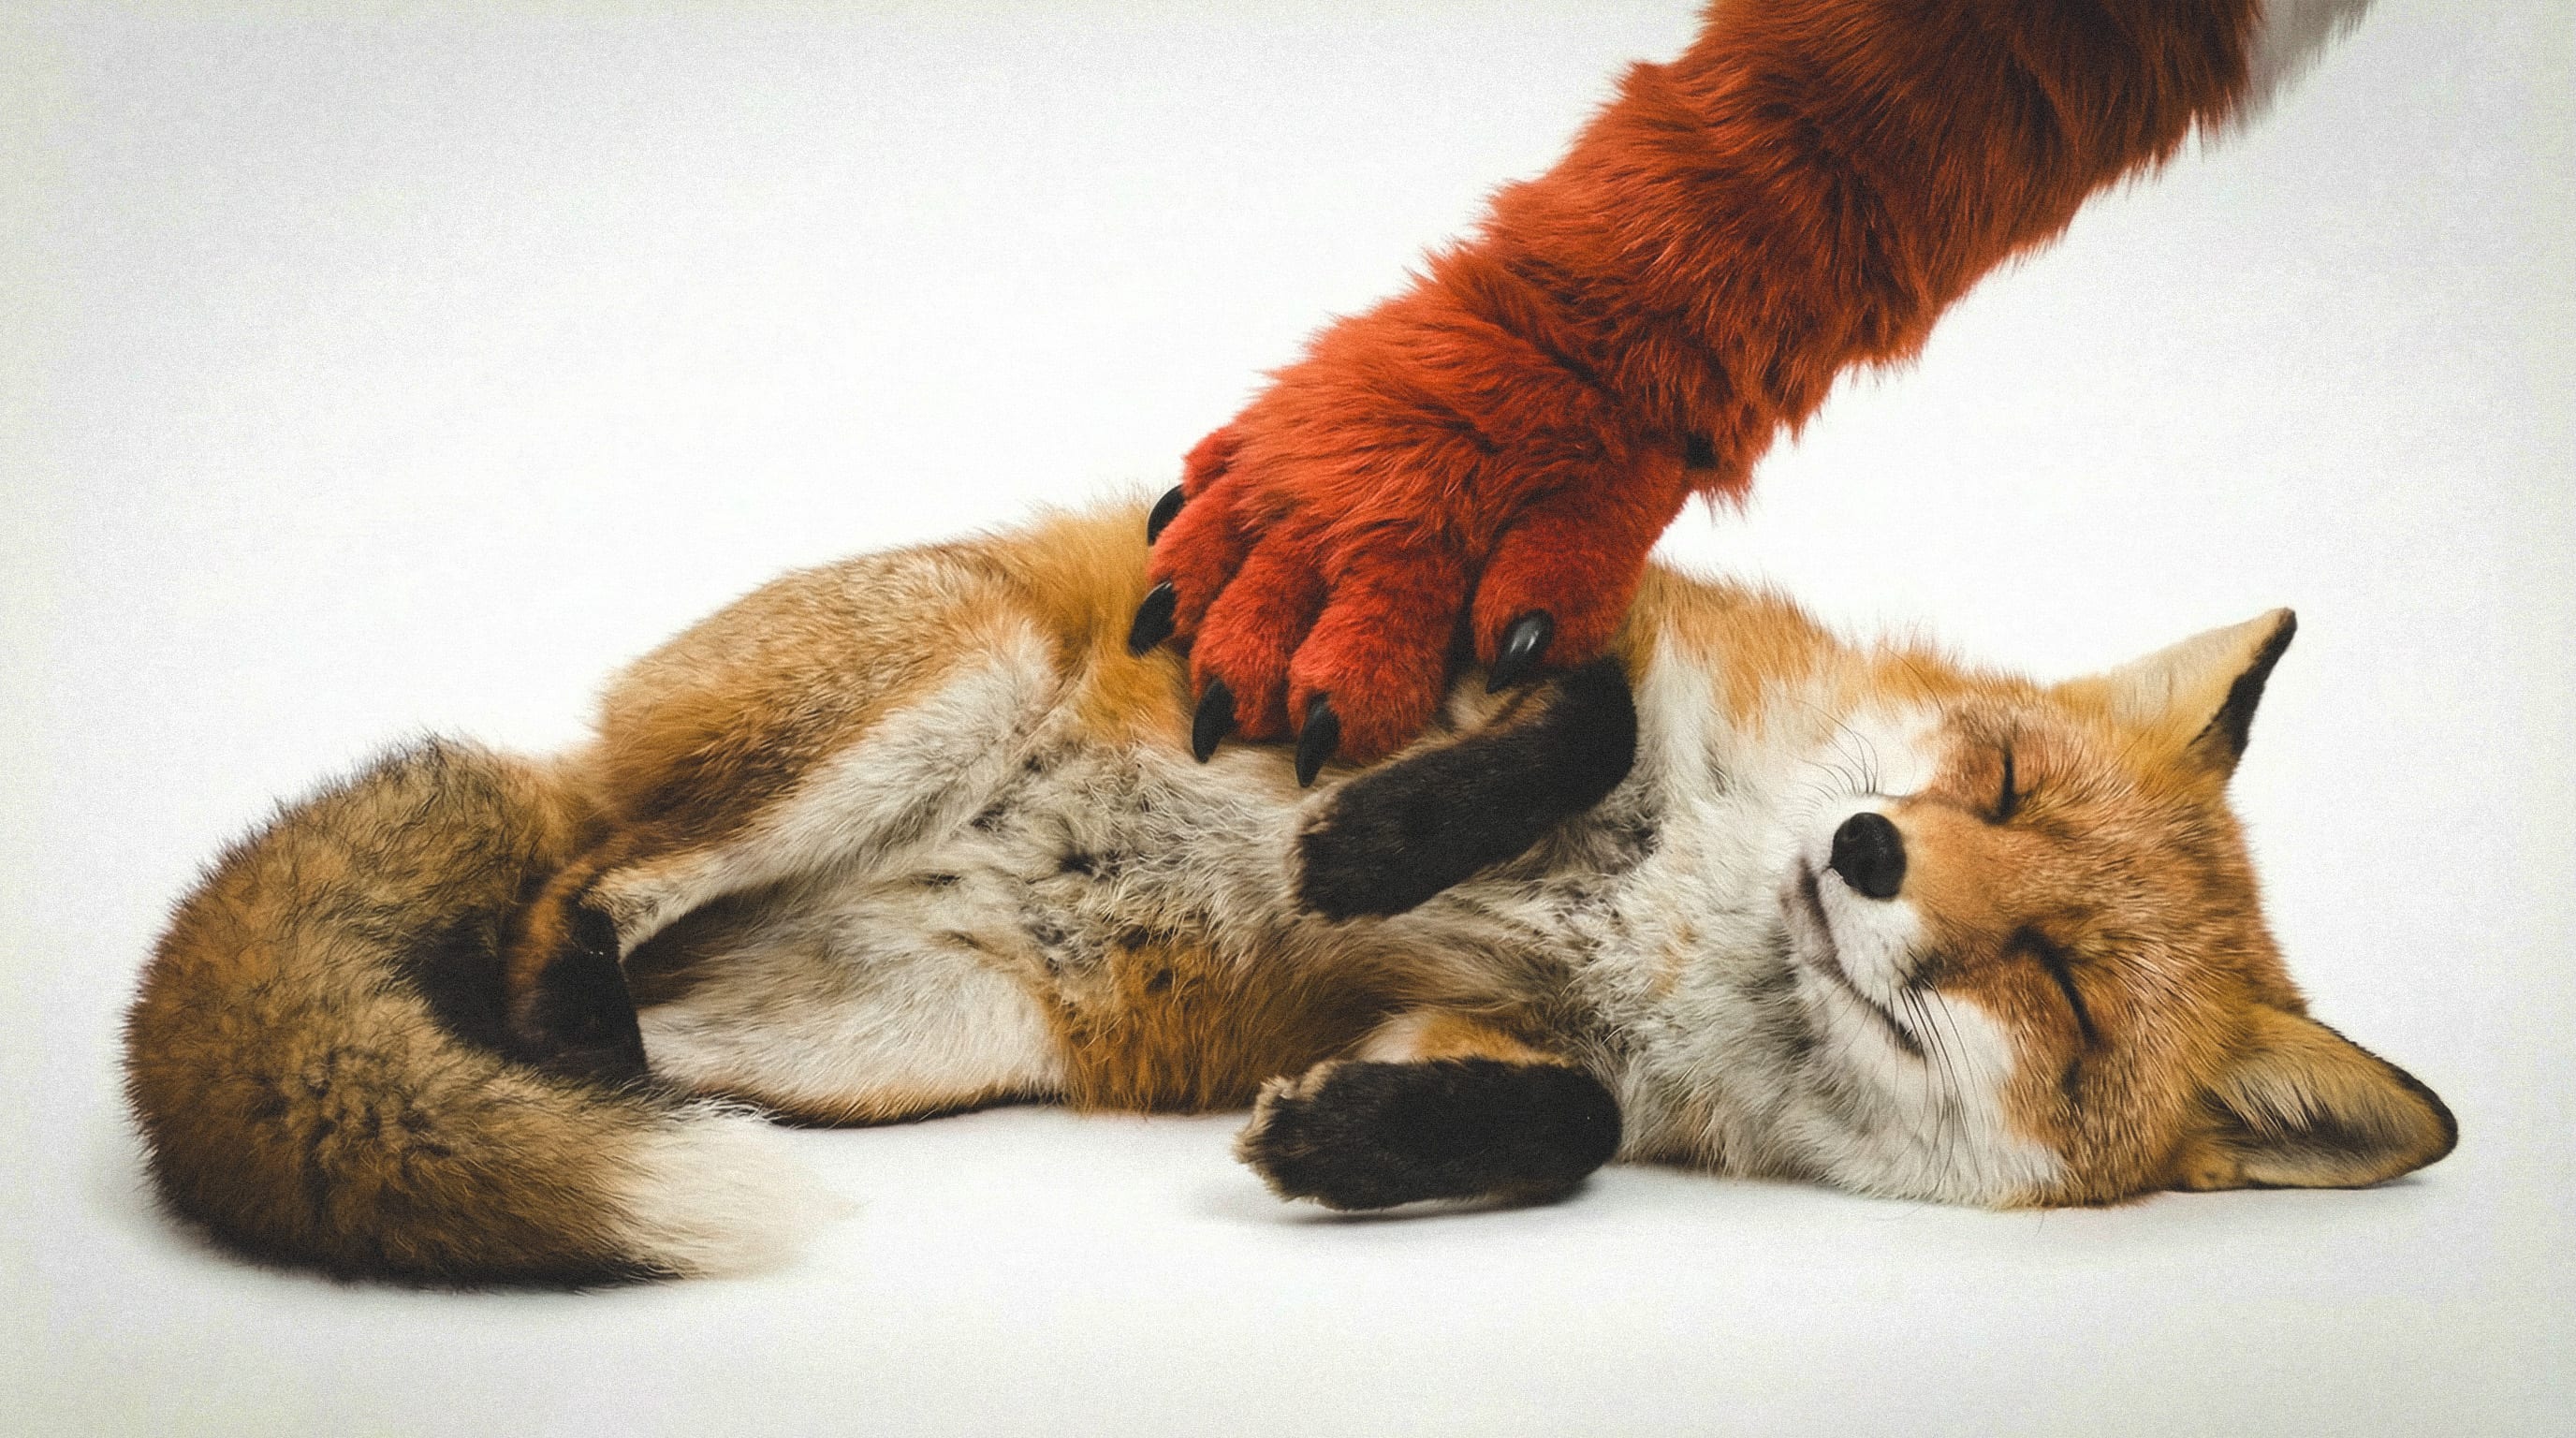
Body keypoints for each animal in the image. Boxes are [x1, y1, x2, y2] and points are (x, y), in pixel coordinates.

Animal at [123, 499, 2455, 1286]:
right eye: (1985, 778)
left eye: (2058, 982)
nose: (1866, 855)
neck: (1691, 913)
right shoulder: (1453, 625)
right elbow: (1577, 715)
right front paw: (1357, 851)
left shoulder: (1497, 1038)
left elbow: (1562, 1116)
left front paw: (1348, 1152)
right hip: (923, 690)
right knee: (580, 886)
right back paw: (558, 1043)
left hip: (903, 1034)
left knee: (577, 952)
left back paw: (569, 1079)